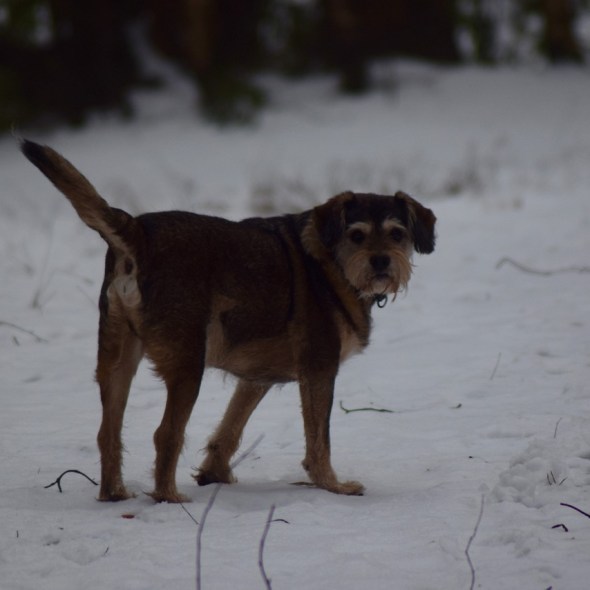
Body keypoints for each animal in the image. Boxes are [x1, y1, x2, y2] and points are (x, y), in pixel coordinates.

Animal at [22, 140, 436, 502]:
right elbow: (319, 439)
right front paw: (333, 486)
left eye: (397, 233)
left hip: (116, 360)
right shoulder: (319, 370)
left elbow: (230, 428)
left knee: (107, 433)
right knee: (165, 434)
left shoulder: (256, 378)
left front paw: (214, 474)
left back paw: (114, 494)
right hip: (187, 366)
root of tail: (137, 234)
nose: (381, 261)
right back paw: (168, 497)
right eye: (357, 235)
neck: (331, 262)